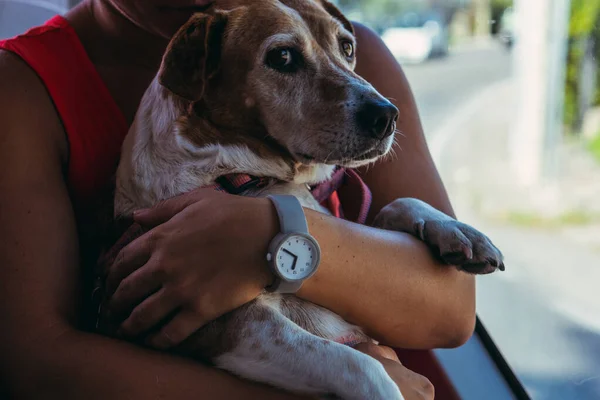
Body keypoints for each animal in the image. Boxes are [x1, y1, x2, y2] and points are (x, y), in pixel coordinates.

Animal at [102, 1, 502, 398]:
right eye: (282, 57)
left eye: (347, 47)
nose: (388, 115)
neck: (235, 174)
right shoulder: (229, 324)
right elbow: (361, 365)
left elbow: (397, 204)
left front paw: (456, 230)